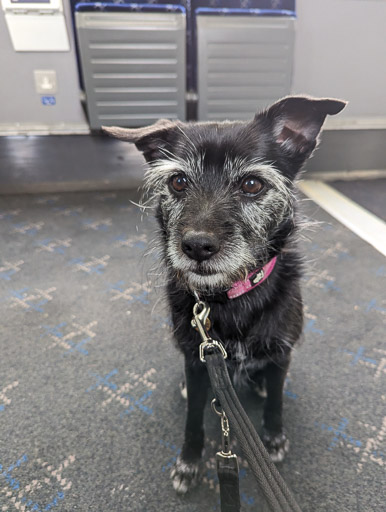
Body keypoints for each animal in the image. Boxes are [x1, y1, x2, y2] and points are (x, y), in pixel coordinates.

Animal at [102, 95, 346, 492]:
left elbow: (277, 401)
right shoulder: (197, 359)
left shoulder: (282, 353)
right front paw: (188, 461)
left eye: (252, 184)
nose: (196, 246)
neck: (231, 296)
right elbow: (192, 421)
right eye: (178, 181)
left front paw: (273, 438)